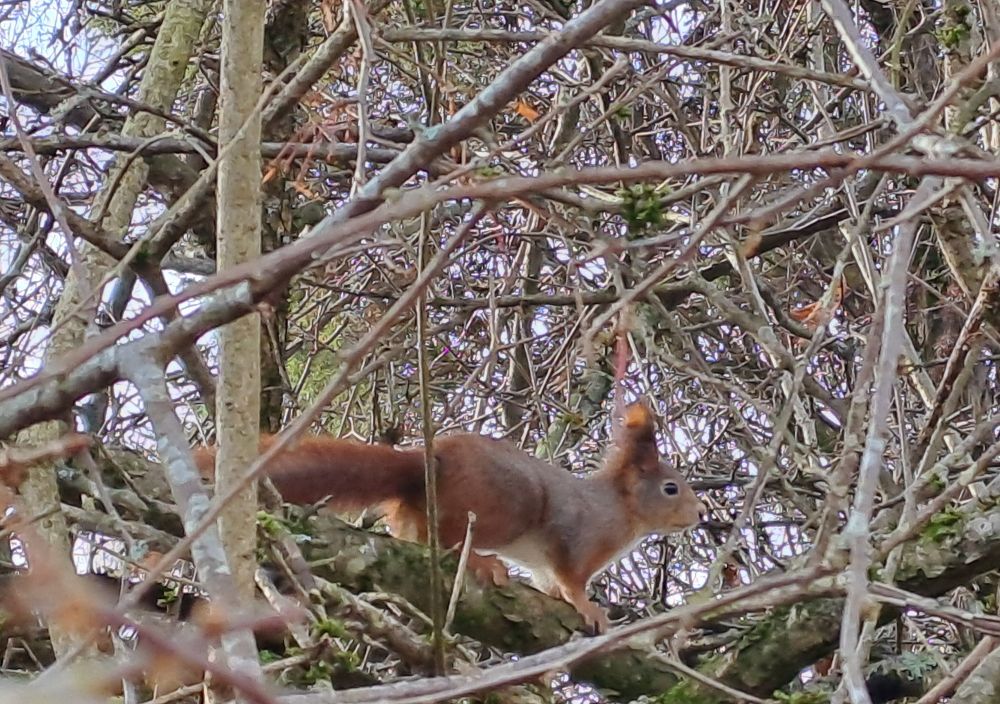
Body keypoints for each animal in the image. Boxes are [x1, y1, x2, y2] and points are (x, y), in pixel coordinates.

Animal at [194, 402, 706, 632]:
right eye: (671, 488)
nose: (700, 513)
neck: (621, 512)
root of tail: (431, 460)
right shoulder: (576, 536)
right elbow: (571, 577)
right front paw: (589, 607)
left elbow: (549, 583)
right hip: (507, 505)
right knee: (450, 536)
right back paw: (480, 561)